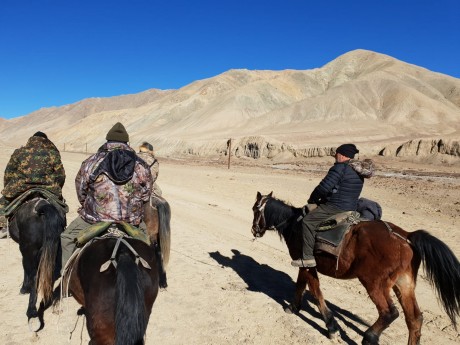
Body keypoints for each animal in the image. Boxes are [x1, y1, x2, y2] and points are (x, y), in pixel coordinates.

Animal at [8, 196, 66, 330]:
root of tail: (42, 206)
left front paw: (24, 288)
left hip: (30, 251)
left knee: (34, 275)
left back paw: (32, 313)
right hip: (54, 247)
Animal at [252, 192, 460, 342]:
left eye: (255, 209)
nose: (254, 230)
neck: (294, 226)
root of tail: (406, 236)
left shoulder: (307, 265)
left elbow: (315, 292)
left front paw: (332, 328)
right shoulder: (304, 264)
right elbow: (301, 285)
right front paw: (293, 307)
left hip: (374, 283)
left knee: (389, 312)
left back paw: (370, 337)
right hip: (404, 284)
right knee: (415, 320)